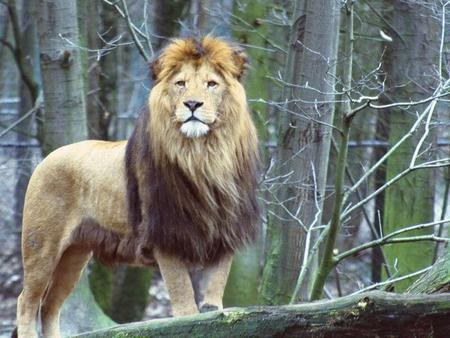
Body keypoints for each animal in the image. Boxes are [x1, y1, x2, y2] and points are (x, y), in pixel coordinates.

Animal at [14, 37, 260, 338]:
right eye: (180, 83)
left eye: (211, 84)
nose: (192, 104)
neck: (203, 156)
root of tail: (46, 158)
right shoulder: (166, 236)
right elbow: (185, 307)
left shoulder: (225, 235)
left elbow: (213, 300)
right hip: (42, 246)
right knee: (27, 300)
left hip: (75, 254)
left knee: (50, 304)